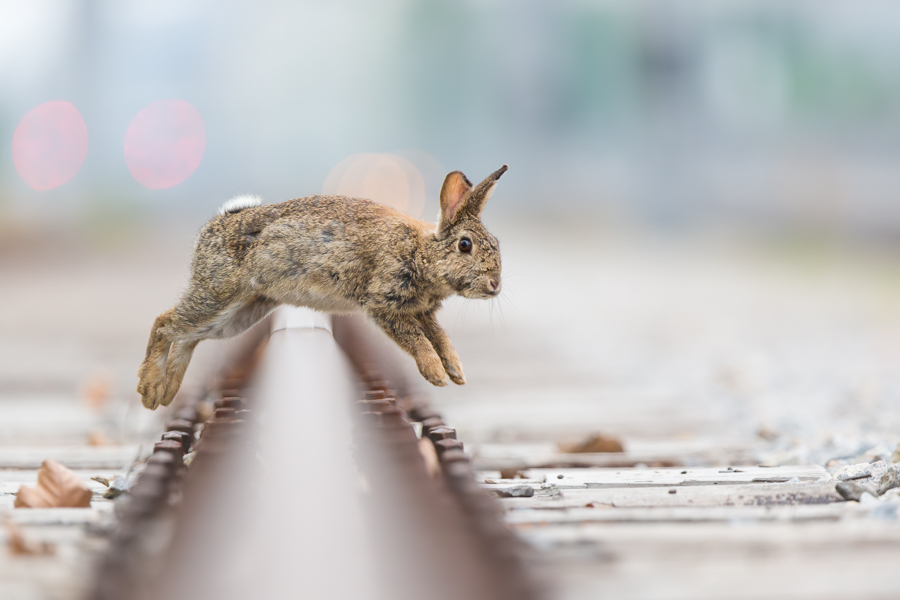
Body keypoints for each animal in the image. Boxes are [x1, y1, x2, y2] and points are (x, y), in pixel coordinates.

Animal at [137, 165, 508, 409]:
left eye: (497, 243)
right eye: (464, 245)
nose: (495, 285)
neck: (422, 252)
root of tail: (218, 224)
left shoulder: (423, 312)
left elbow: (441, 338)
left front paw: (456, 372)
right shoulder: (384, 304)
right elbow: (417, 340)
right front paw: (435, 374)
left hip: (242, 313)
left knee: (188, 337)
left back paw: (164, 392)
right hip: (218, 295)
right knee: (165, 324)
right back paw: (149, 388)